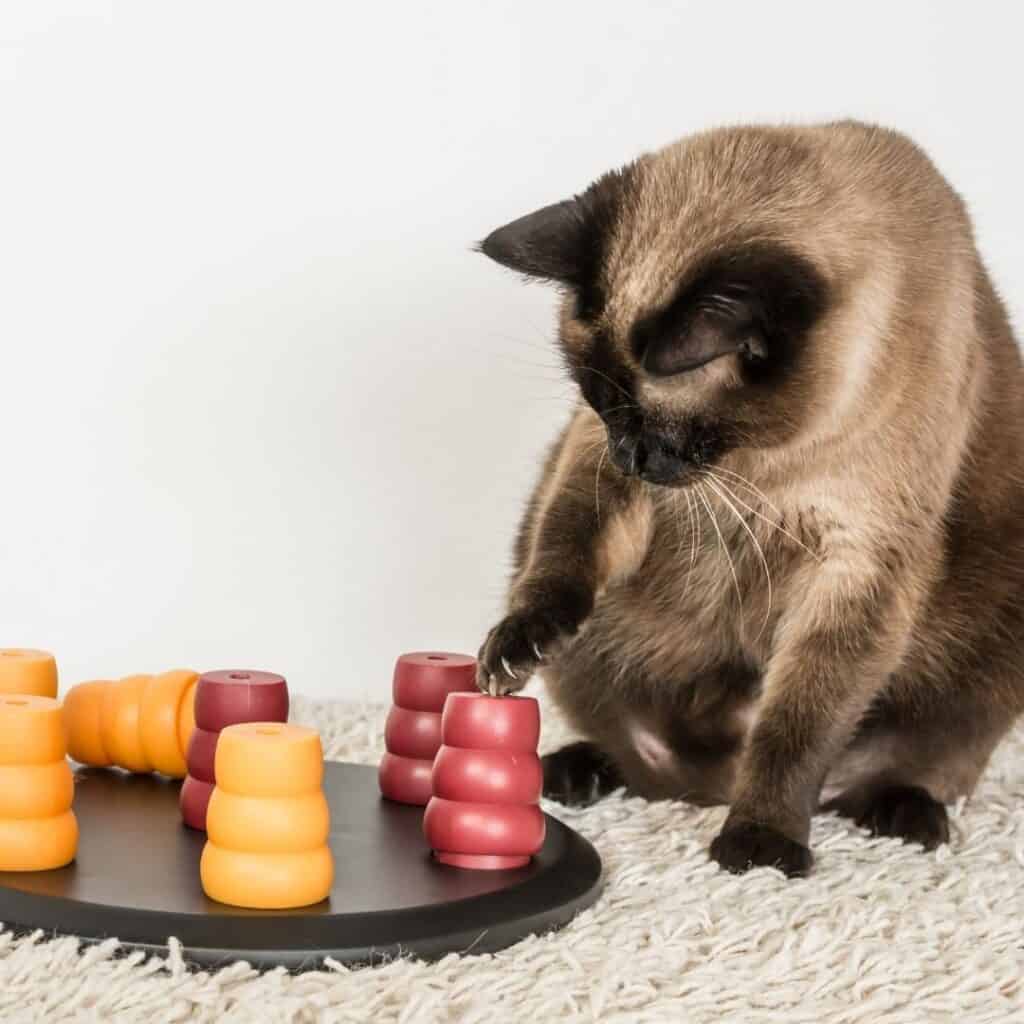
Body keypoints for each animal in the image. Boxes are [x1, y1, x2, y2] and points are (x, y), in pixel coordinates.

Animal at [475, 117, 1024, 872]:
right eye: (601, 406)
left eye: (660, 427)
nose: (630, 457)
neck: (765, 464)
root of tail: (715, 781)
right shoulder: (592, 473)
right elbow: (561, 561)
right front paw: (515, 647)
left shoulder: (855, 563)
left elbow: (793, 731)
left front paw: (761, 845)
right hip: (591, 645)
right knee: (641, 760)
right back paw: (573, 773)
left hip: (989, 650)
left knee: (894, 767)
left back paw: (906, 816)